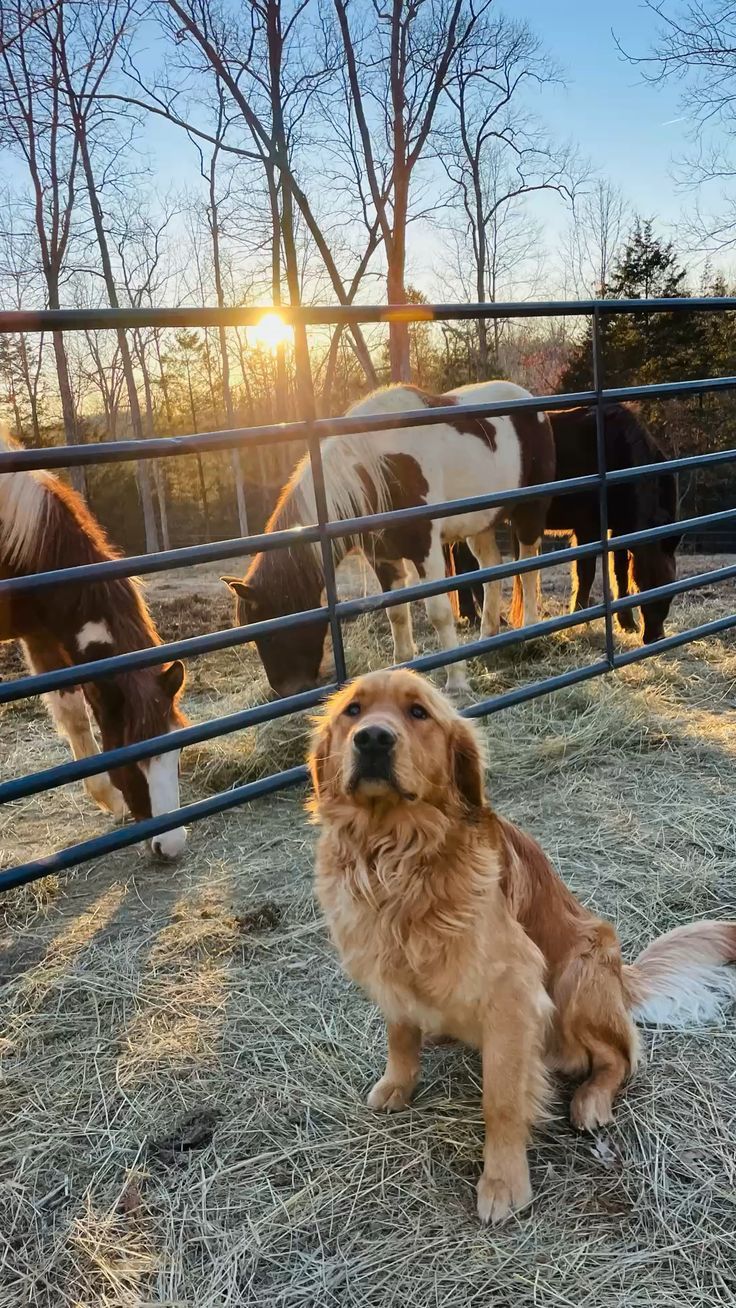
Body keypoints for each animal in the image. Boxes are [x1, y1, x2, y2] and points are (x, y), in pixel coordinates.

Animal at [1, 429, 189, 858]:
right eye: (132, 757)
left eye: (177, 750)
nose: (171, 845)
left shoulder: (41, 634)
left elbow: (72, 712)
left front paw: (108, 798)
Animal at [222, 381, 556, 701]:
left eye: (271, 634)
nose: (289, 691)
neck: (380, 469)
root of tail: (529, 400)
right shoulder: (382, 556)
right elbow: (395, 612)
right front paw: (402, 667)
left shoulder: (426, 549)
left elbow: (439, 613)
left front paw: (457, 683)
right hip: (480, 524)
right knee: (491, 568)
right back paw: (488, 636)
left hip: (530, 510)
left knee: (528, 568)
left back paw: (531, 629)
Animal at [308, 669, 736, 1219]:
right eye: (353, 711)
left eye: (418, 712)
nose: (374, 739)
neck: (396, 858)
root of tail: (623, 977)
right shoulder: (388, 966)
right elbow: (400, 1034)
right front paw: (398, 1083)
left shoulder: (512, 990)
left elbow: (502, 1099)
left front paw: (504, 1182)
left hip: (579, 972)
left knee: (620, 1058)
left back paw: (591, 1099)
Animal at [452, 400, 685, 640]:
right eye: (642, 585)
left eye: (670, 588)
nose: (654, 637)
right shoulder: (587, 529)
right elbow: (586, 573)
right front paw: (581, 619)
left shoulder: (620, 529)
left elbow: (619, 572)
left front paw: (627, 623)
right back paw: (480, 617)